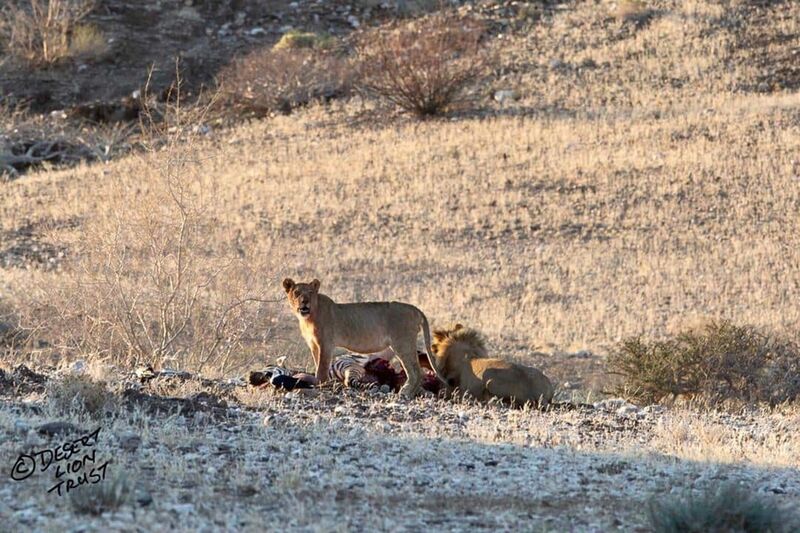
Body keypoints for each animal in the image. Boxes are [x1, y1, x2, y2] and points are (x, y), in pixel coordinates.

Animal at [282, 278, 444, 394]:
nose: (304, 301)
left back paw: (405, 393)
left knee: (416, 372)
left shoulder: (325, 344)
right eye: (297, 293)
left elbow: (321, 368)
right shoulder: (314, 345)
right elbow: (318, 364)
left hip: (402, 343)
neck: (307, 318)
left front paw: (320, 385)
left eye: (310, 292)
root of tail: (415, 309)